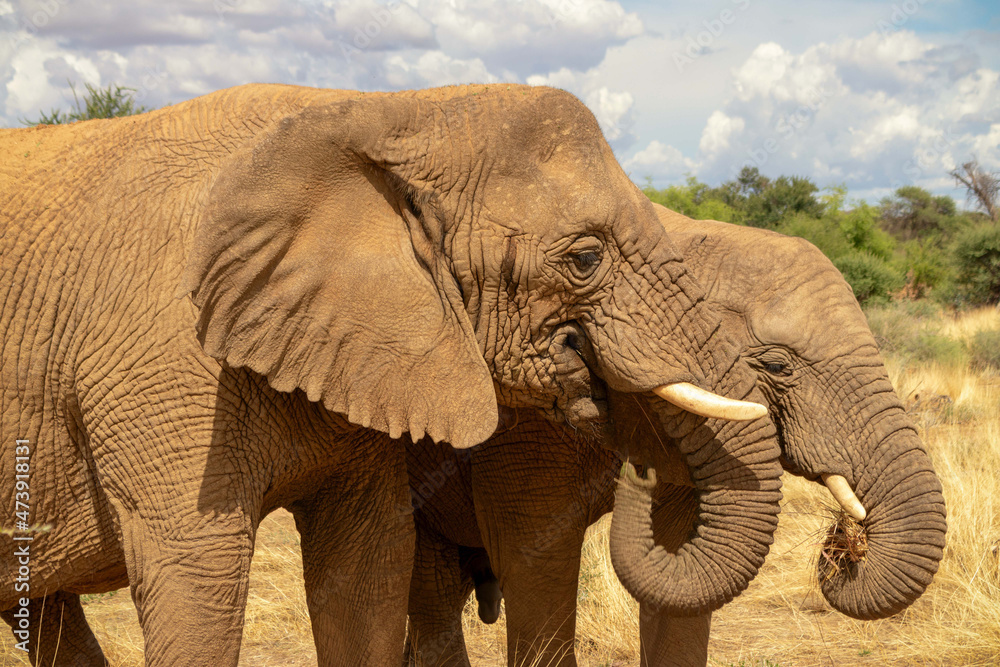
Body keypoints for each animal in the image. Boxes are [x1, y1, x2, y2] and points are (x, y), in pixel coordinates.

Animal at [0, 84, 777, 666]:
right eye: (586, 258)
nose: (639, 470)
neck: (383, 114)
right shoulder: (159, 359)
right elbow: (197, 576)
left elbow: (368, 567)